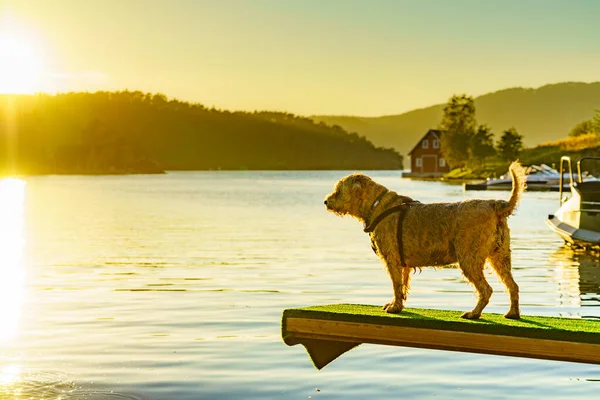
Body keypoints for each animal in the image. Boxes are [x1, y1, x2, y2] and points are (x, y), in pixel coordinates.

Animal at [324, 161, 524, 320]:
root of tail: (496, 205)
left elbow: (396, 285)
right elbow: (402, 286)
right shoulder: (403, 264)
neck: (377, 205)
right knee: (513, 285)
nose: (325, 201)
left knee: (486, 289)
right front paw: (398, 305)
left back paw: (474, 313)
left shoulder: (391, 259)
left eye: (338, 190)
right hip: (500, 257)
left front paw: (394, 307)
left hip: (469, 259)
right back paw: (512, 313)